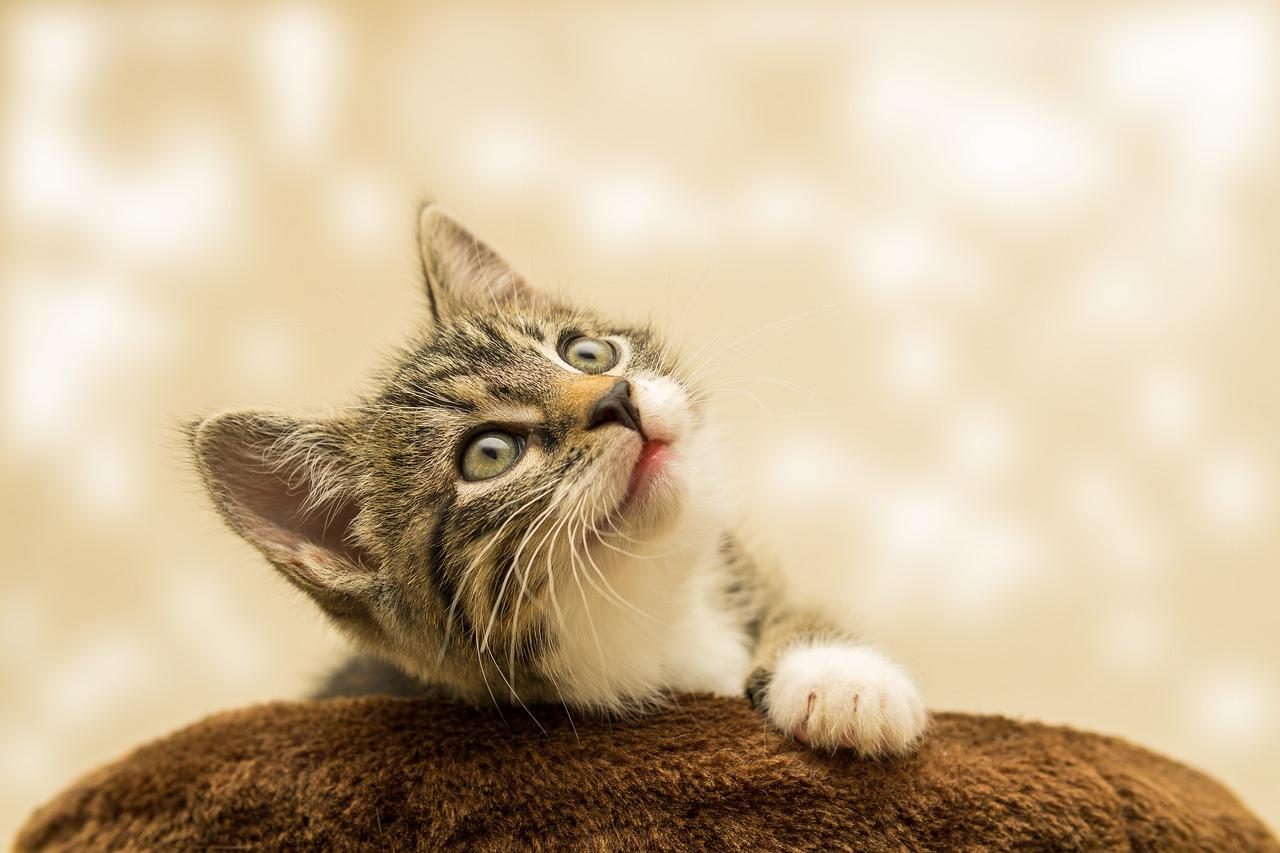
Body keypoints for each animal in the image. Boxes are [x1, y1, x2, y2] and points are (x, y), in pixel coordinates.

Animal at [186, 204, 931, 753]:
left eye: (587, 352)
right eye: (489, 453)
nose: (618, 399)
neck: (654, 609)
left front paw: (842, 677)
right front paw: (844, 689)